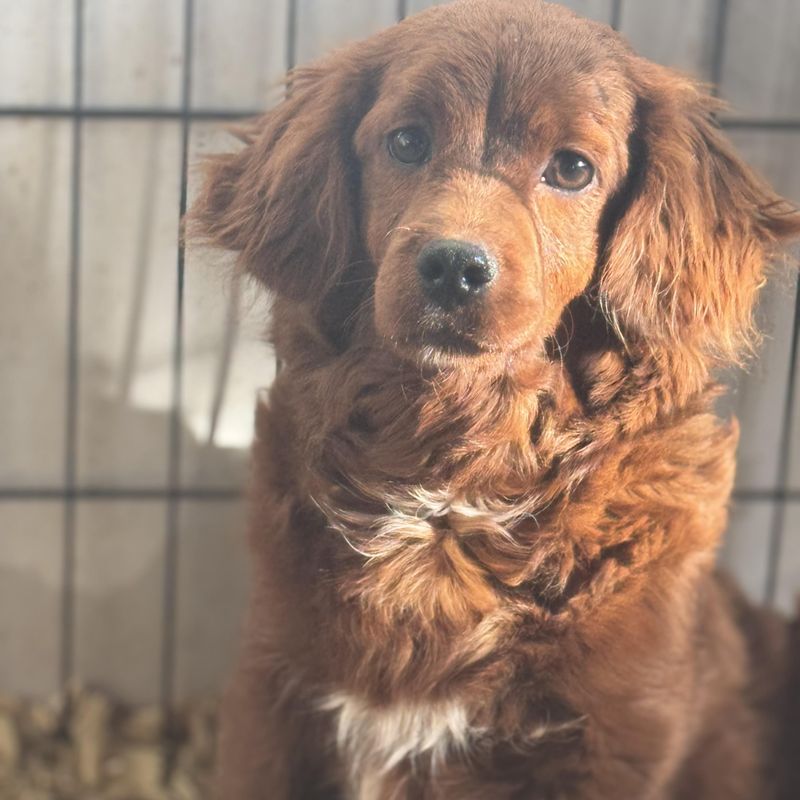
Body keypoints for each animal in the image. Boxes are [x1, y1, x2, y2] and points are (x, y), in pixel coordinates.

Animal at [189, 1, 800, 800]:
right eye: (407, 142)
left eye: (572, 168)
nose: (453, 266)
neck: (454, 474)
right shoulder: (273, 691)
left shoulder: (613, 739)